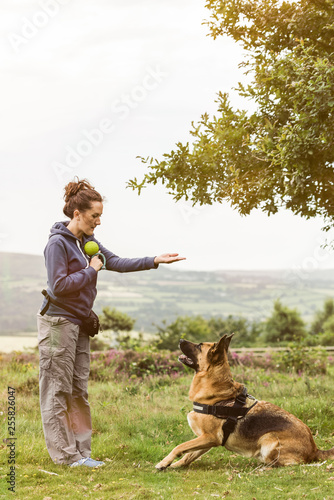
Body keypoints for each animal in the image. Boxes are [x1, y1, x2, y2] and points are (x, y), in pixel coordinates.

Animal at [156, 334, 334, 470]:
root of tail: (315, 449)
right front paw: (173, 465)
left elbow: (180, 446)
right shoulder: (207, 440)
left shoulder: (210, 437)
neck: (216, 392)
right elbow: (189, 454)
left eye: (199, 345)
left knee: (285, 464)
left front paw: (164, 462)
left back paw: (263, 468)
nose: (180, 339)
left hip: (268, 440)